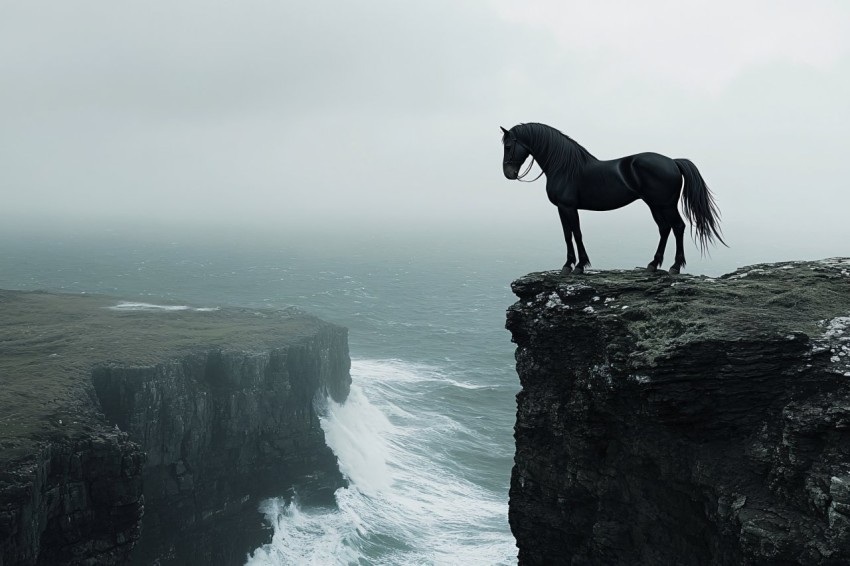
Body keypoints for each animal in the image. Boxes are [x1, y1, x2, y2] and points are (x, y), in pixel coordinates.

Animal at [500, 123, 724, 276]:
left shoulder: (567, 207)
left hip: (666, 205)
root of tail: (673, 162)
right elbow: (568, 235)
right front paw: (570, 265)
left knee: (677, 227)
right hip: (654, 205)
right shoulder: (563, 209)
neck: (565, 167)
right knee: (664, 228)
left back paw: (675, 267)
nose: (508, 173)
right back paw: (653, 264)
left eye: (509, 146)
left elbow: (575, 234)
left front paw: (577, 266)